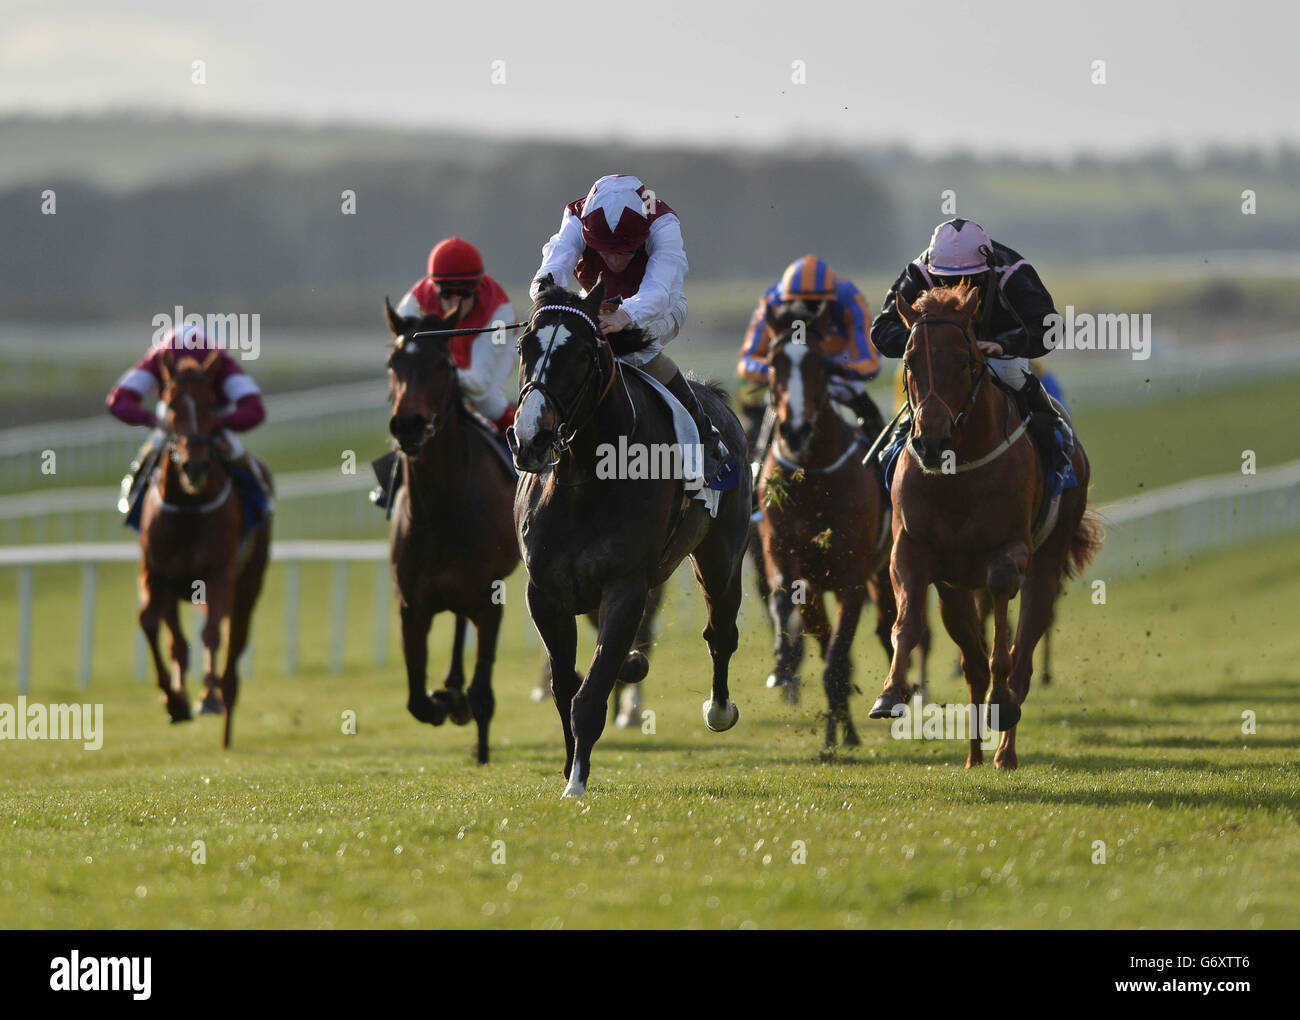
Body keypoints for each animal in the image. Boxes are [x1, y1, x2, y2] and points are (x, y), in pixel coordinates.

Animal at [138, 353, 270, 748]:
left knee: (233, 637)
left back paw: (223, 701)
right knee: (177, 641)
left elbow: (212, 632)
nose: (194, 466)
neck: (189, 506)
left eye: (212, 404)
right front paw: (173, 699)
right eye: (171, 403)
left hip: (249, 582)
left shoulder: (219, 573)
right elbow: (151, 624)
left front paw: (208, 697)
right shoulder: (155, 572)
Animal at [379, 298, 517, 758]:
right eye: (393, 362)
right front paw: (445, 701)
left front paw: (480, 745)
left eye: (442, 362)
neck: (441, 509)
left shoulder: (491, 600)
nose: (408, 424)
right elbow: (416, 701)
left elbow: (484, 693)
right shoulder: (411, 605)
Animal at [506, 278, 754, 795]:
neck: (584, 479)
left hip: (721, 558)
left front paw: (576, 782)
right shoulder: (545, 593)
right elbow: (566, 686)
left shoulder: (626, 586)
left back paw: (718, 710)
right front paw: (569, 767)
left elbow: (590, 692)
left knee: (721, 631)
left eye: (582, 354)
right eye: (524, 346)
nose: (530, 438)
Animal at [759, 298, 899, 743]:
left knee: (887, 629)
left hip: (881, 572)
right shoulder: (789, 561)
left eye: (820, 363)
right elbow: (822, 645)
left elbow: (838, 657)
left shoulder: (852, 577)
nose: (795, 429)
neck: (815, 476)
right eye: (773, 363)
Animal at [868, 284, 1102, 764]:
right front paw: (891, 693)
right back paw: (974, 755)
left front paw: (1002, 703)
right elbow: (909, 623)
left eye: (964, 360)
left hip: (1049, 559)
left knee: (1024, 653)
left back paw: (1004, 751)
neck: (959, 473)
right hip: (953, 590)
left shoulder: (1011, 549)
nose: (931, 442)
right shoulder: (913, 551)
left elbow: (1003, 631)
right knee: (973, 664)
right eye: (910, 361)